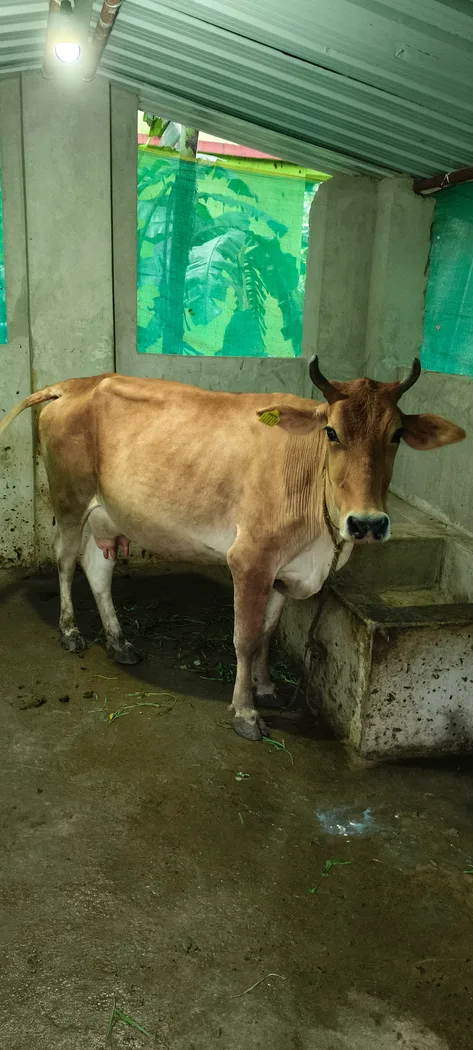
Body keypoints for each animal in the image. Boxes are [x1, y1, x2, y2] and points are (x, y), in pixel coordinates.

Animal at [0, 357, 465, 740]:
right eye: (332, 432)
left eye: (397, 434)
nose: (367, 523)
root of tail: (73, 384)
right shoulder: (250, 558)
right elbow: (244, 637)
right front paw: (245, 712)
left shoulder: (283, 570)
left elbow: (267, 634)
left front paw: (267, 687)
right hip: (70, 500)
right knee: (65, 560)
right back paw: (70, 632)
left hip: (107, 514)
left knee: (98, 572)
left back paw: (119, 642)